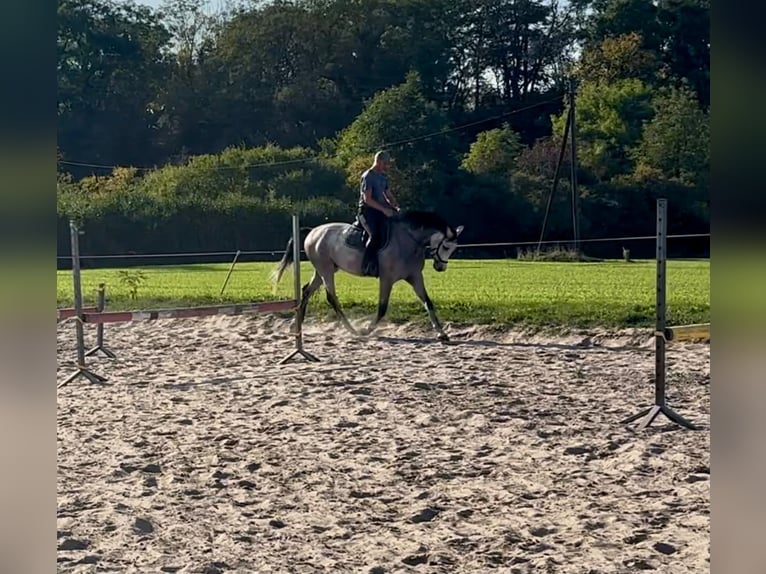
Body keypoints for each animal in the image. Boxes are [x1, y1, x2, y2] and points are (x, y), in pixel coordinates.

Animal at [272, 210, 464, 342]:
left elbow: (428, 302)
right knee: (331, 297)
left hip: (323, 270)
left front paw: (441, 333)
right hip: (326, 270)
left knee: (306, 291)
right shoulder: (387, 279)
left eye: (453, 248)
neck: (408, 241)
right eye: (446, 246)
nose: (440, 267)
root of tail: (313, 231)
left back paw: (295, 326)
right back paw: (352, 329)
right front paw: (367, 330)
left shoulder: (415, 277)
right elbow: (382, 307)